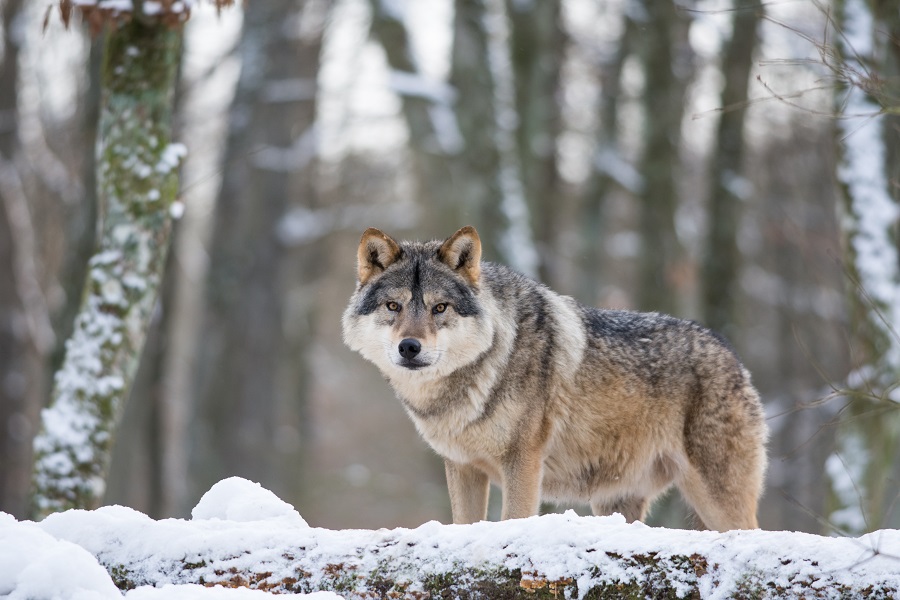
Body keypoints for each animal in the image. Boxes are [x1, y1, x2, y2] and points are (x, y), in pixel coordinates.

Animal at [342, 225, 768, 528]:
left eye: (440, 307)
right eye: (393, 306)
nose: (409, 347)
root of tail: (731, 354)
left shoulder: (523, 462)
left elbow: (514, 519)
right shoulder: (462, 467)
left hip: (717, 500)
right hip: (616, 501)